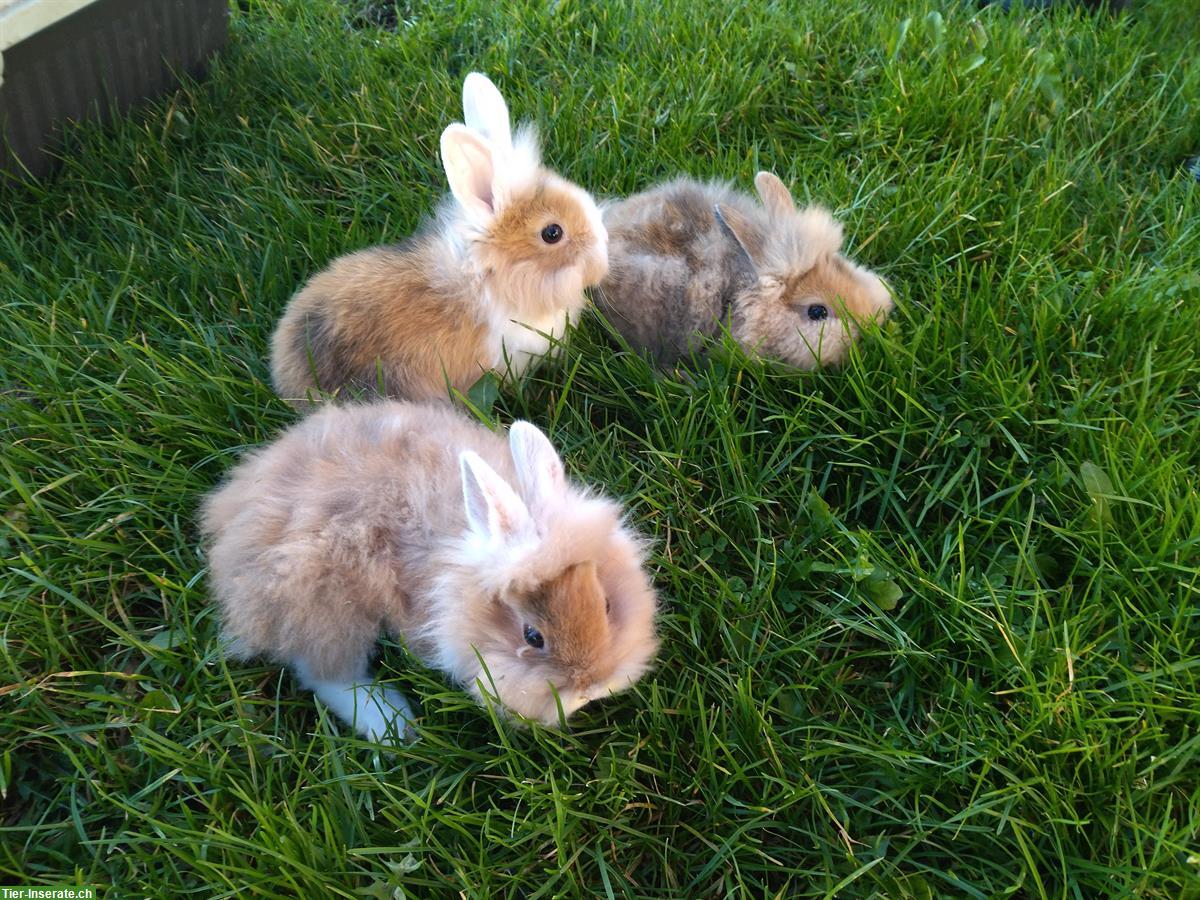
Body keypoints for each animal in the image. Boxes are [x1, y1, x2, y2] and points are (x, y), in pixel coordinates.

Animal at [200, 405, 662, 744]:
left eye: (606, 605)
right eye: (533, 637)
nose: (592, 686)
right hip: (320, 601)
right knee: (324, 673)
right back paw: (394, 725)